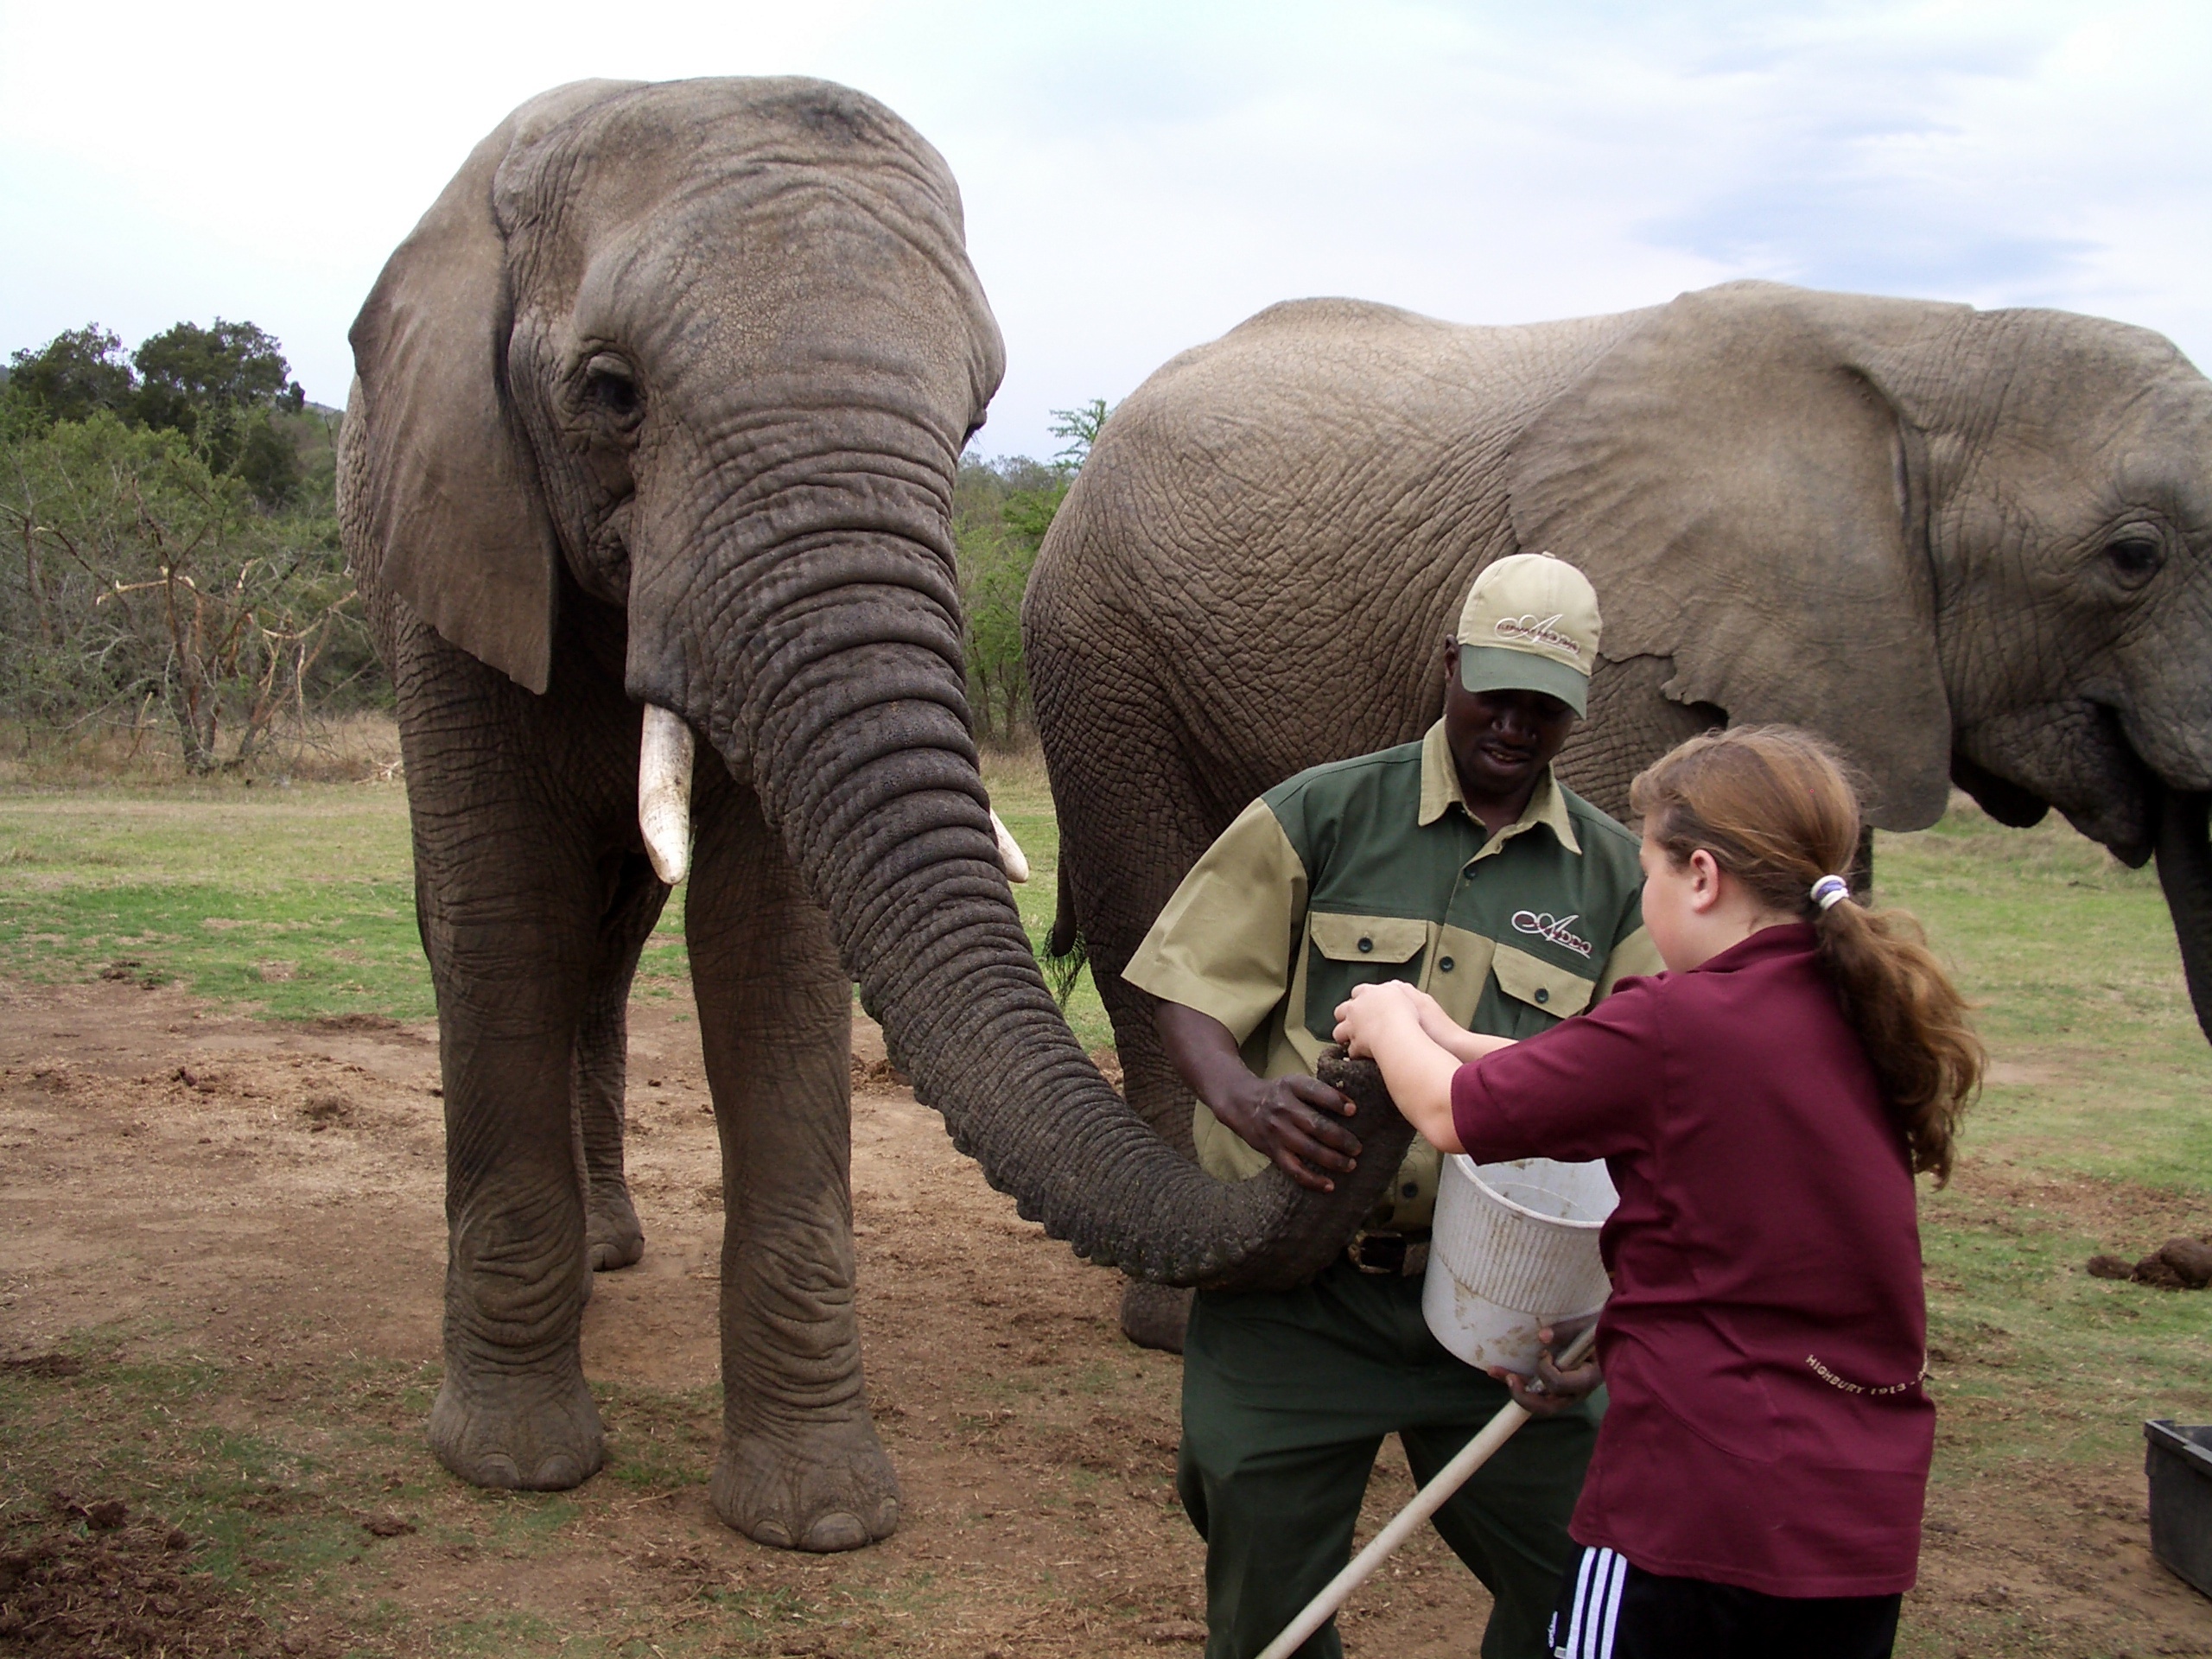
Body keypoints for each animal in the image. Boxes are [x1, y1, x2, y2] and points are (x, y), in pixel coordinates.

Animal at [337, 76, 1419, 1552]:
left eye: (969, 428)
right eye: (609, 394)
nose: (1357, 1054)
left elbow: (771, 960)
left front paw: (821, 1518)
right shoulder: (453, 526)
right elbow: (501, 918)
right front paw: (509, 1465)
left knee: (610, 947)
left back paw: (614, 1249)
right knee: (525, 937)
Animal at [1023, 279, 2212, 1349]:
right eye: (2132, 557)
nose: (2180, 1269)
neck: (1927, 342)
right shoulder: (1653, 650)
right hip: (1104, 658)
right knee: (1154, 937)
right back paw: (1176, 1323)